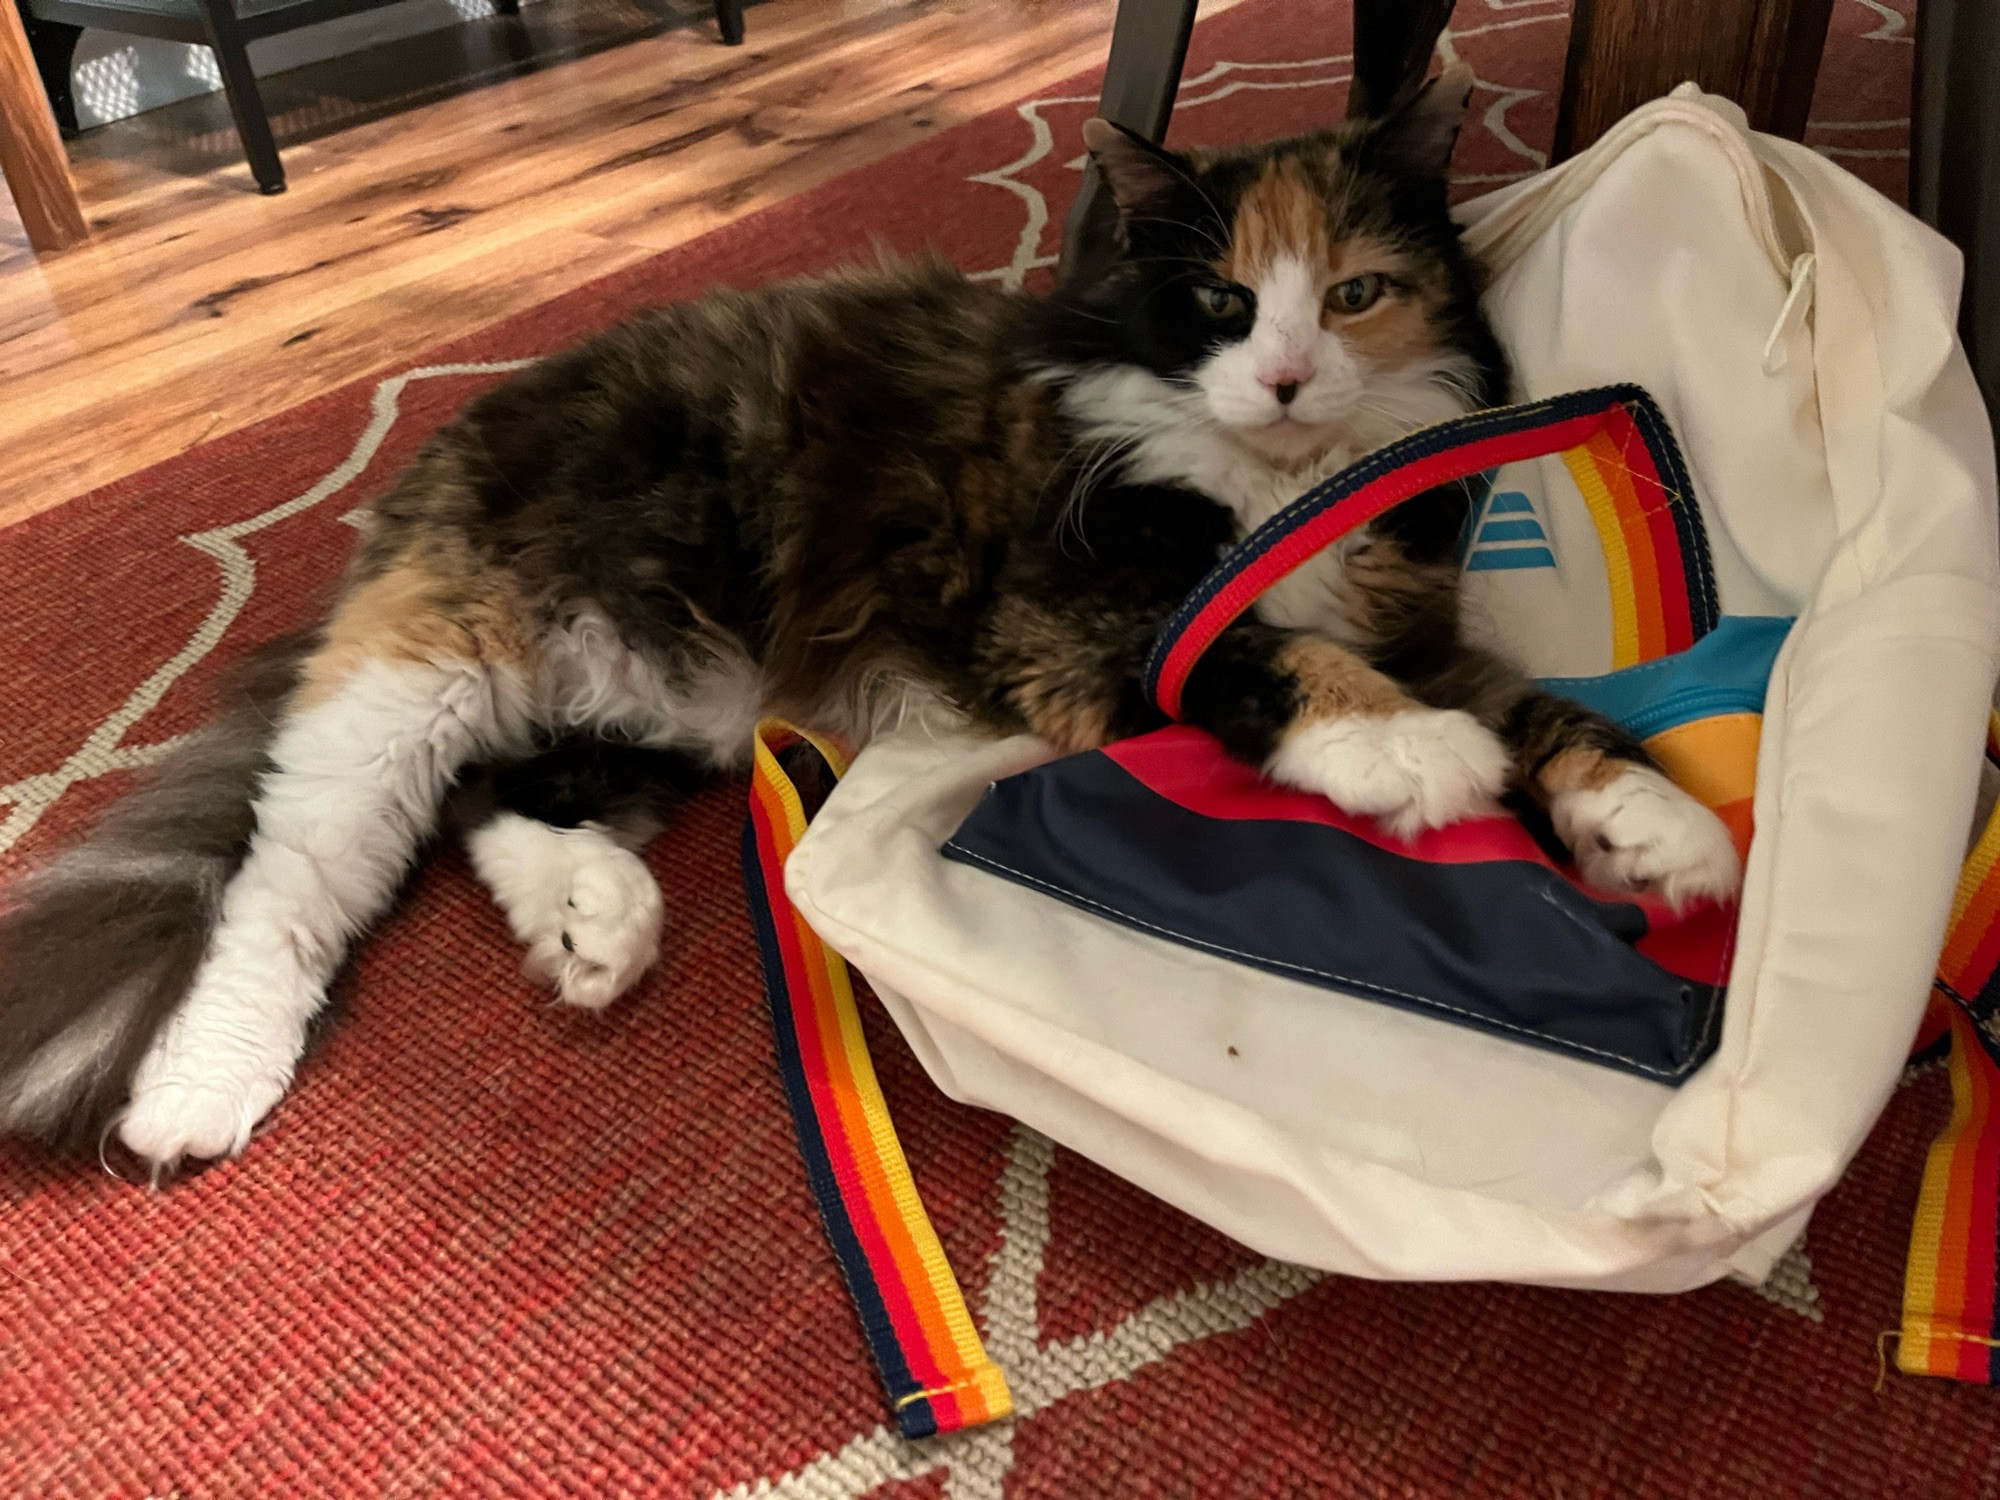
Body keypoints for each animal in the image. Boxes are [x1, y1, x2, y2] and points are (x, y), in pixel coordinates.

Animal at [0, 67, 1744, 1176]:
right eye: (1223, 306)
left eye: (1359, 295)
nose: (1288, 374)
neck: (1270, 482)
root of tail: (434, 457)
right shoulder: (1068, 617)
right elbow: (1278, 661)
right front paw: (1410, 761)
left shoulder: (1416, 617)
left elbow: (1552, 709)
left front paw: (1657, 826)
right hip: (425, 678)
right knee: (292, 884)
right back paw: (200, 1091)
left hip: (657, 702)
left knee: (504, 802)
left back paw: (594, 923)